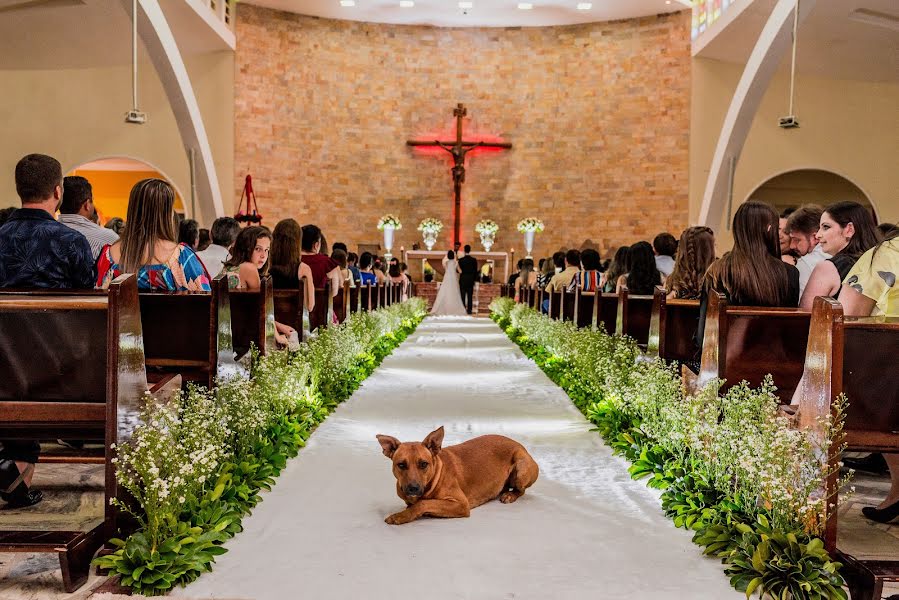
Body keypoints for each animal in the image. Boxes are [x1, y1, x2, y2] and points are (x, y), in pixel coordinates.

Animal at [376, 426, 536, 524]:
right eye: (401, 465)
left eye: (423, 464)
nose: (413, 488)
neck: (435, 475)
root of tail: (521, 445)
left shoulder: (461, 504)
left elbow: (423, 503)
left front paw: (401, 516)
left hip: (521, 467)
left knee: (521, 490)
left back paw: (510, 495)